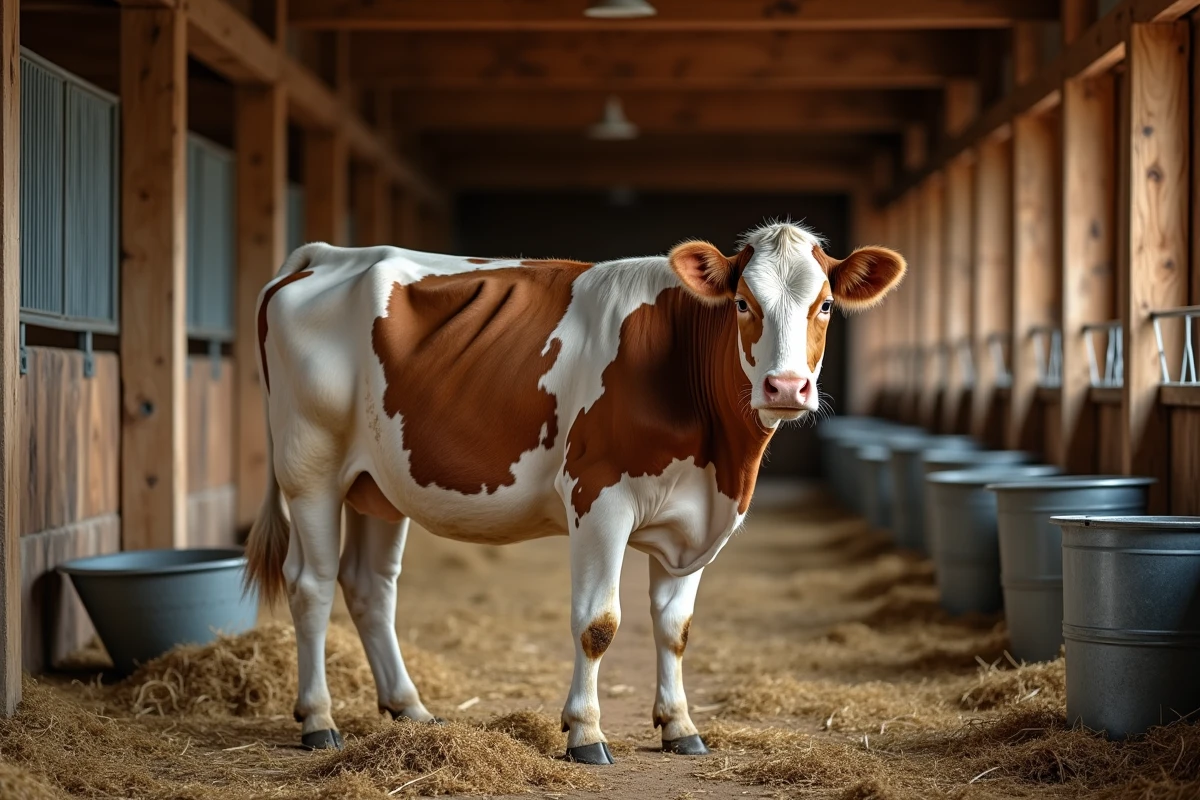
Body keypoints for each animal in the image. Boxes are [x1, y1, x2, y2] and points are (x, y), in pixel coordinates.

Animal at [246, 221, 905, 763]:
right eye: (744, 302)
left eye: (825, 305)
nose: (786, 387)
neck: (721, 459)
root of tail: (329, 255)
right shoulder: (598, 496)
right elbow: (599, 622)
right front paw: (585, 733)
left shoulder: (698, 518)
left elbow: (676, 627)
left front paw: (681, 726)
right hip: (310, 465)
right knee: (311, 585)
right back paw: (319, 721)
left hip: (378, 485)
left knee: (370, 587)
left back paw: (410, 709)